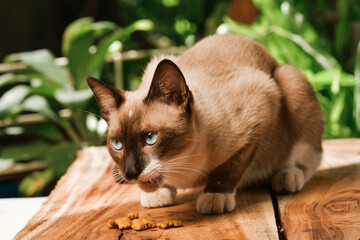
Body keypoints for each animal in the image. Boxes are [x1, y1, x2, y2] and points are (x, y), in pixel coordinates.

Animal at [87, 33, 324, 214]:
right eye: (117, 144)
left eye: (150, 138)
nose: (130, 174)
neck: (183, 163)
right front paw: (159, 193)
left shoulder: (263, 107)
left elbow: (230, 167)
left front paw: (214, 197)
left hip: (291, 81)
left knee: (311, 156)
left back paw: (288, 177)